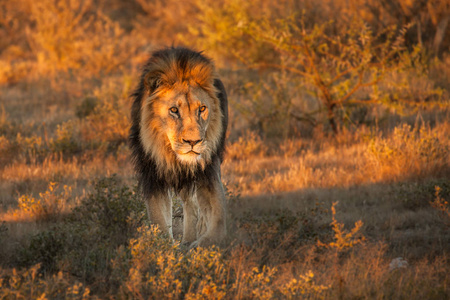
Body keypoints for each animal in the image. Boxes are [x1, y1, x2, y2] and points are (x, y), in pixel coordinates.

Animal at [129, 47, 229, 248]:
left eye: (202, 109)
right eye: (174, 110)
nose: (193, 142)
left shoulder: (209, 172)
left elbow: (218, 225)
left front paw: (197, 248)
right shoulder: (154, 176)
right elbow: (159, 222)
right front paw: (166, 250)